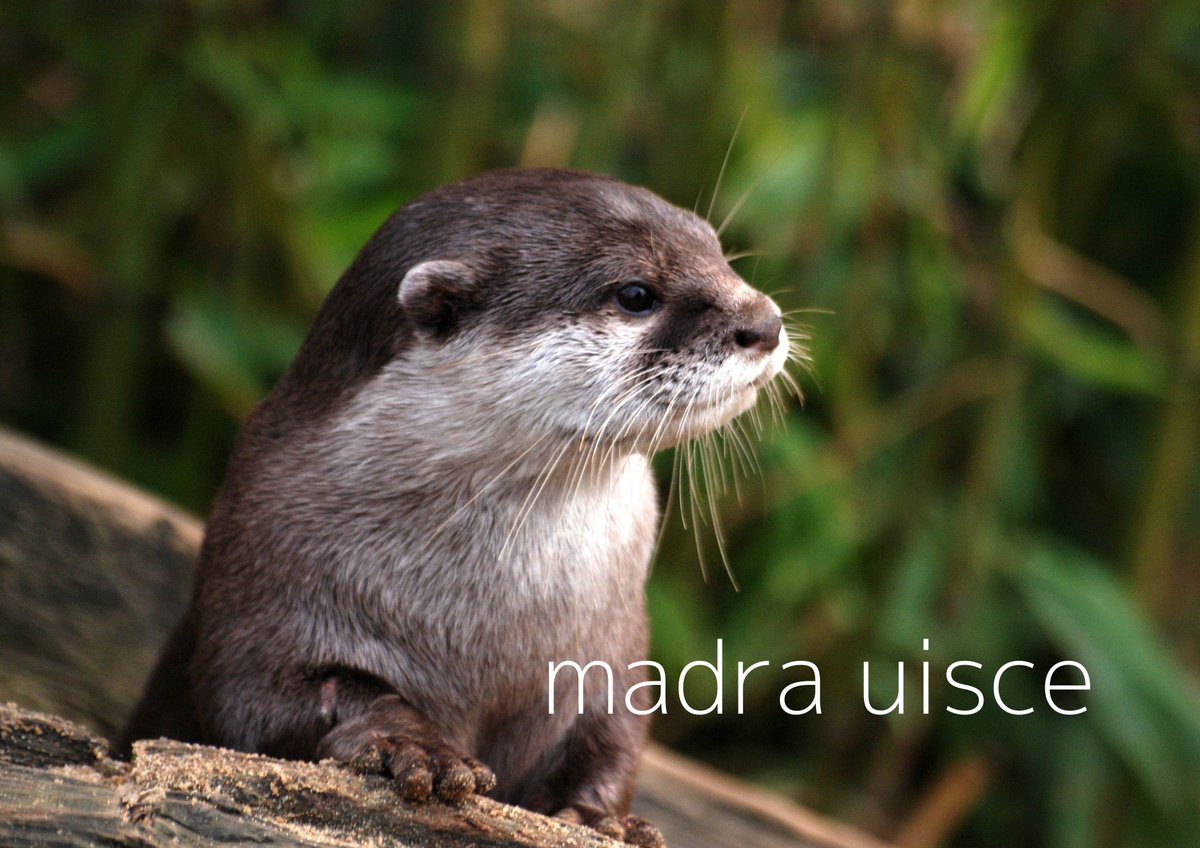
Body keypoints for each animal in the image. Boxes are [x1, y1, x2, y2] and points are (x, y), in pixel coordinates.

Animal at [123, 168, 790, 846]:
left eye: (716, 249)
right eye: (636, 294)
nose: (764, 322)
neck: (488, 627)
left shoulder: (614, 651)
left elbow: (613, 739)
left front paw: (600, 817)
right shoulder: (257, 574)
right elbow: (262, 702)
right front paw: (412, 745)